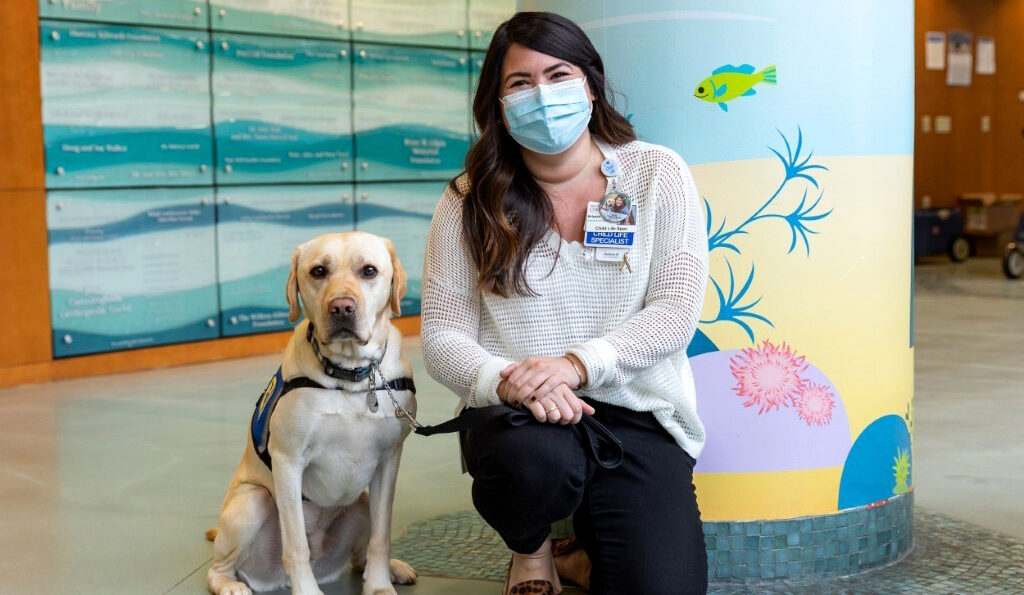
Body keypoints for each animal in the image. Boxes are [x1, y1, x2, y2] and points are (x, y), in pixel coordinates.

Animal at [203, 232, 415, 593]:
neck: (350, 375)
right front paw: (306, 589)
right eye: (318, 271)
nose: (342, 307)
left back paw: (393, 568)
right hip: (252, 502)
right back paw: (230, 584)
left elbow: (381, 535)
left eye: (369, 270)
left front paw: (378, 584)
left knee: (359, 555)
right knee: (219, 567)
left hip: (359, 503)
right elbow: (296, 545)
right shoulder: (288, 461)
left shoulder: (390, 459)